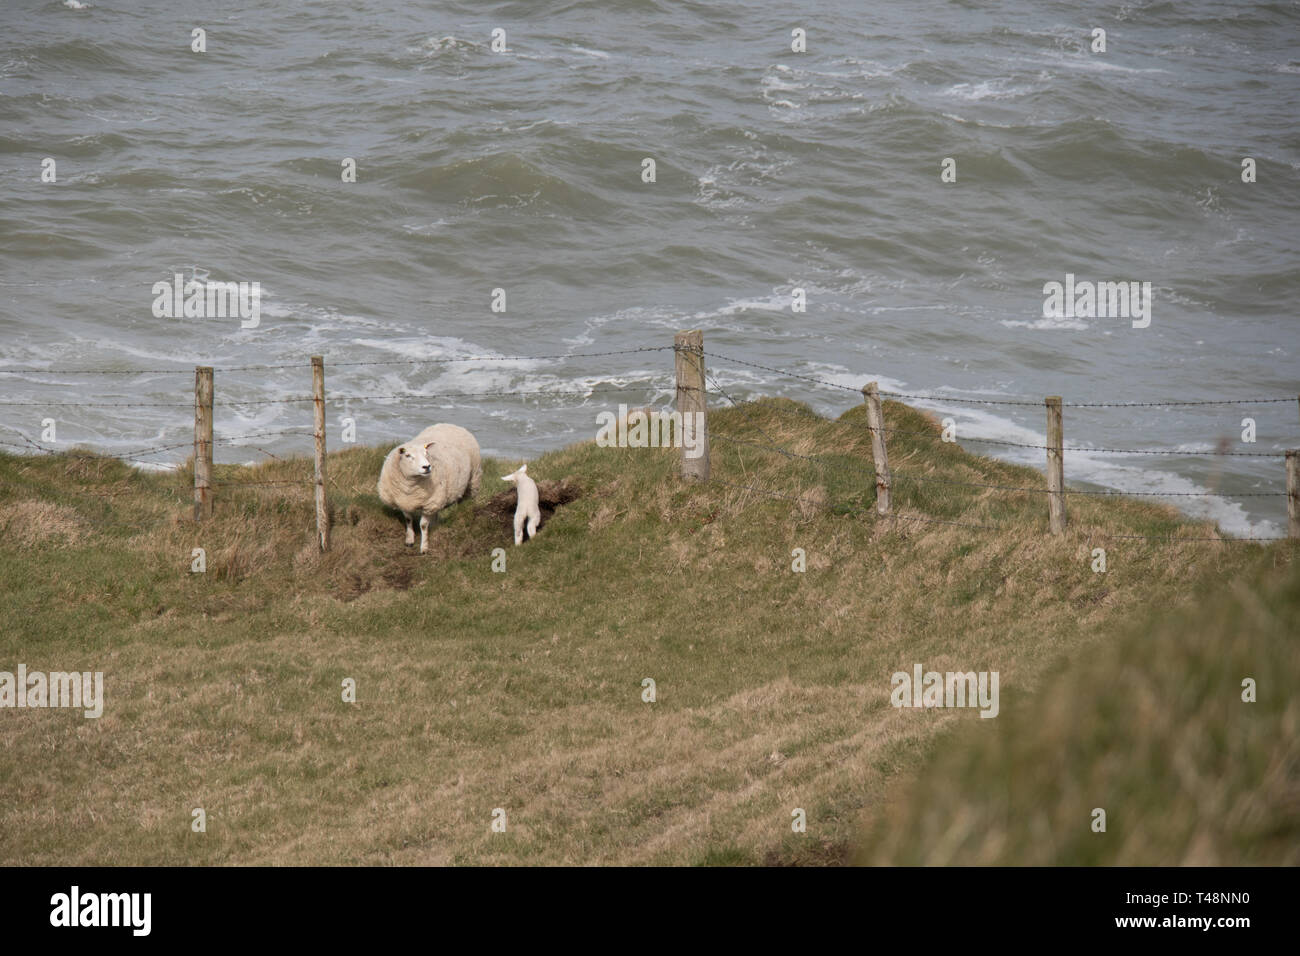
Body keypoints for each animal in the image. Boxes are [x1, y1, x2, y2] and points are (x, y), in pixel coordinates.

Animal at [377, 423, 482, 553]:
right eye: (407, 455)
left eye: (426, 453)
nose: (426, 467)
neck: (410, 486)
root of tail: (450, 424)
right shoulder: (403, 501)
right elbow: (408, 519)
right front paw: (409, 540)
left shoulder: (429, 504)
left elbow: (423, 525)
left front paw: (424, 547)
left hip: (474, 478)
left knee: (468, 499)